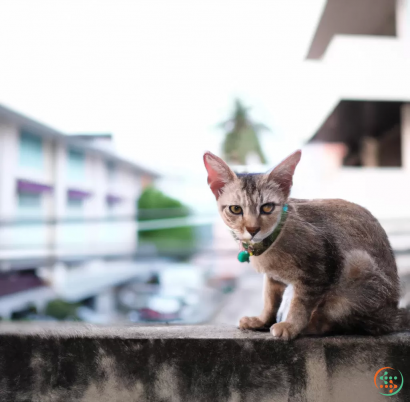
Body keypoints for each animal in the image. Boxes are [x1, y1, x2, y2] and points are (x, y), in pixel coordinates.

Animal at [203, 150, 408, 340]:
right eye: (235, 209)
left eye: (267, 207)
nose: (253, 229)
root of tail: (393, 314)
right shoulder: (273, 277)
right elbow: (270, 299)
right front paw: (262, 320)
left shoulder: (319, 267)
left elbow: (300, 303)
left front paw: (291, 325)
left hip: (357, 265)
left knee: (342, 322)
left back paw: (310, 326)